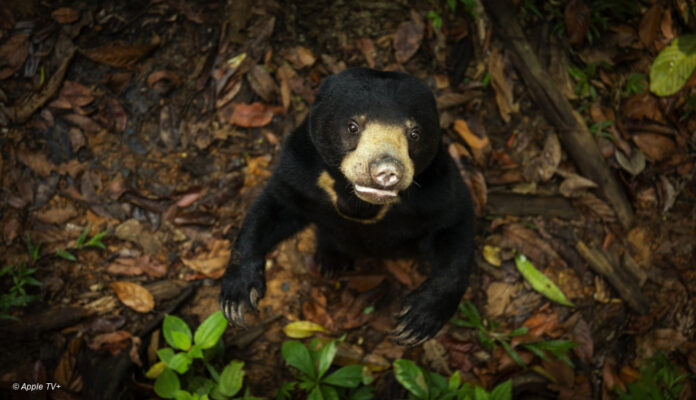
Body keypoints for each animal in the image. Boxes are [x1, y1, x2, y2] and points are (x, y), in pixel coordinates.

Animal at [220, 67, 476, 346]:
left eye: (414, 134)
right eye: (353, 126)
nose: (387, 171)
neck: (359, 203)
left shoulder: (436, 191)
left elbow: (454, 224)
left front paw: (416, 322)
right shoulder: (300, 172)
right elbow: (273, 209)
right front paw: (237, 298)